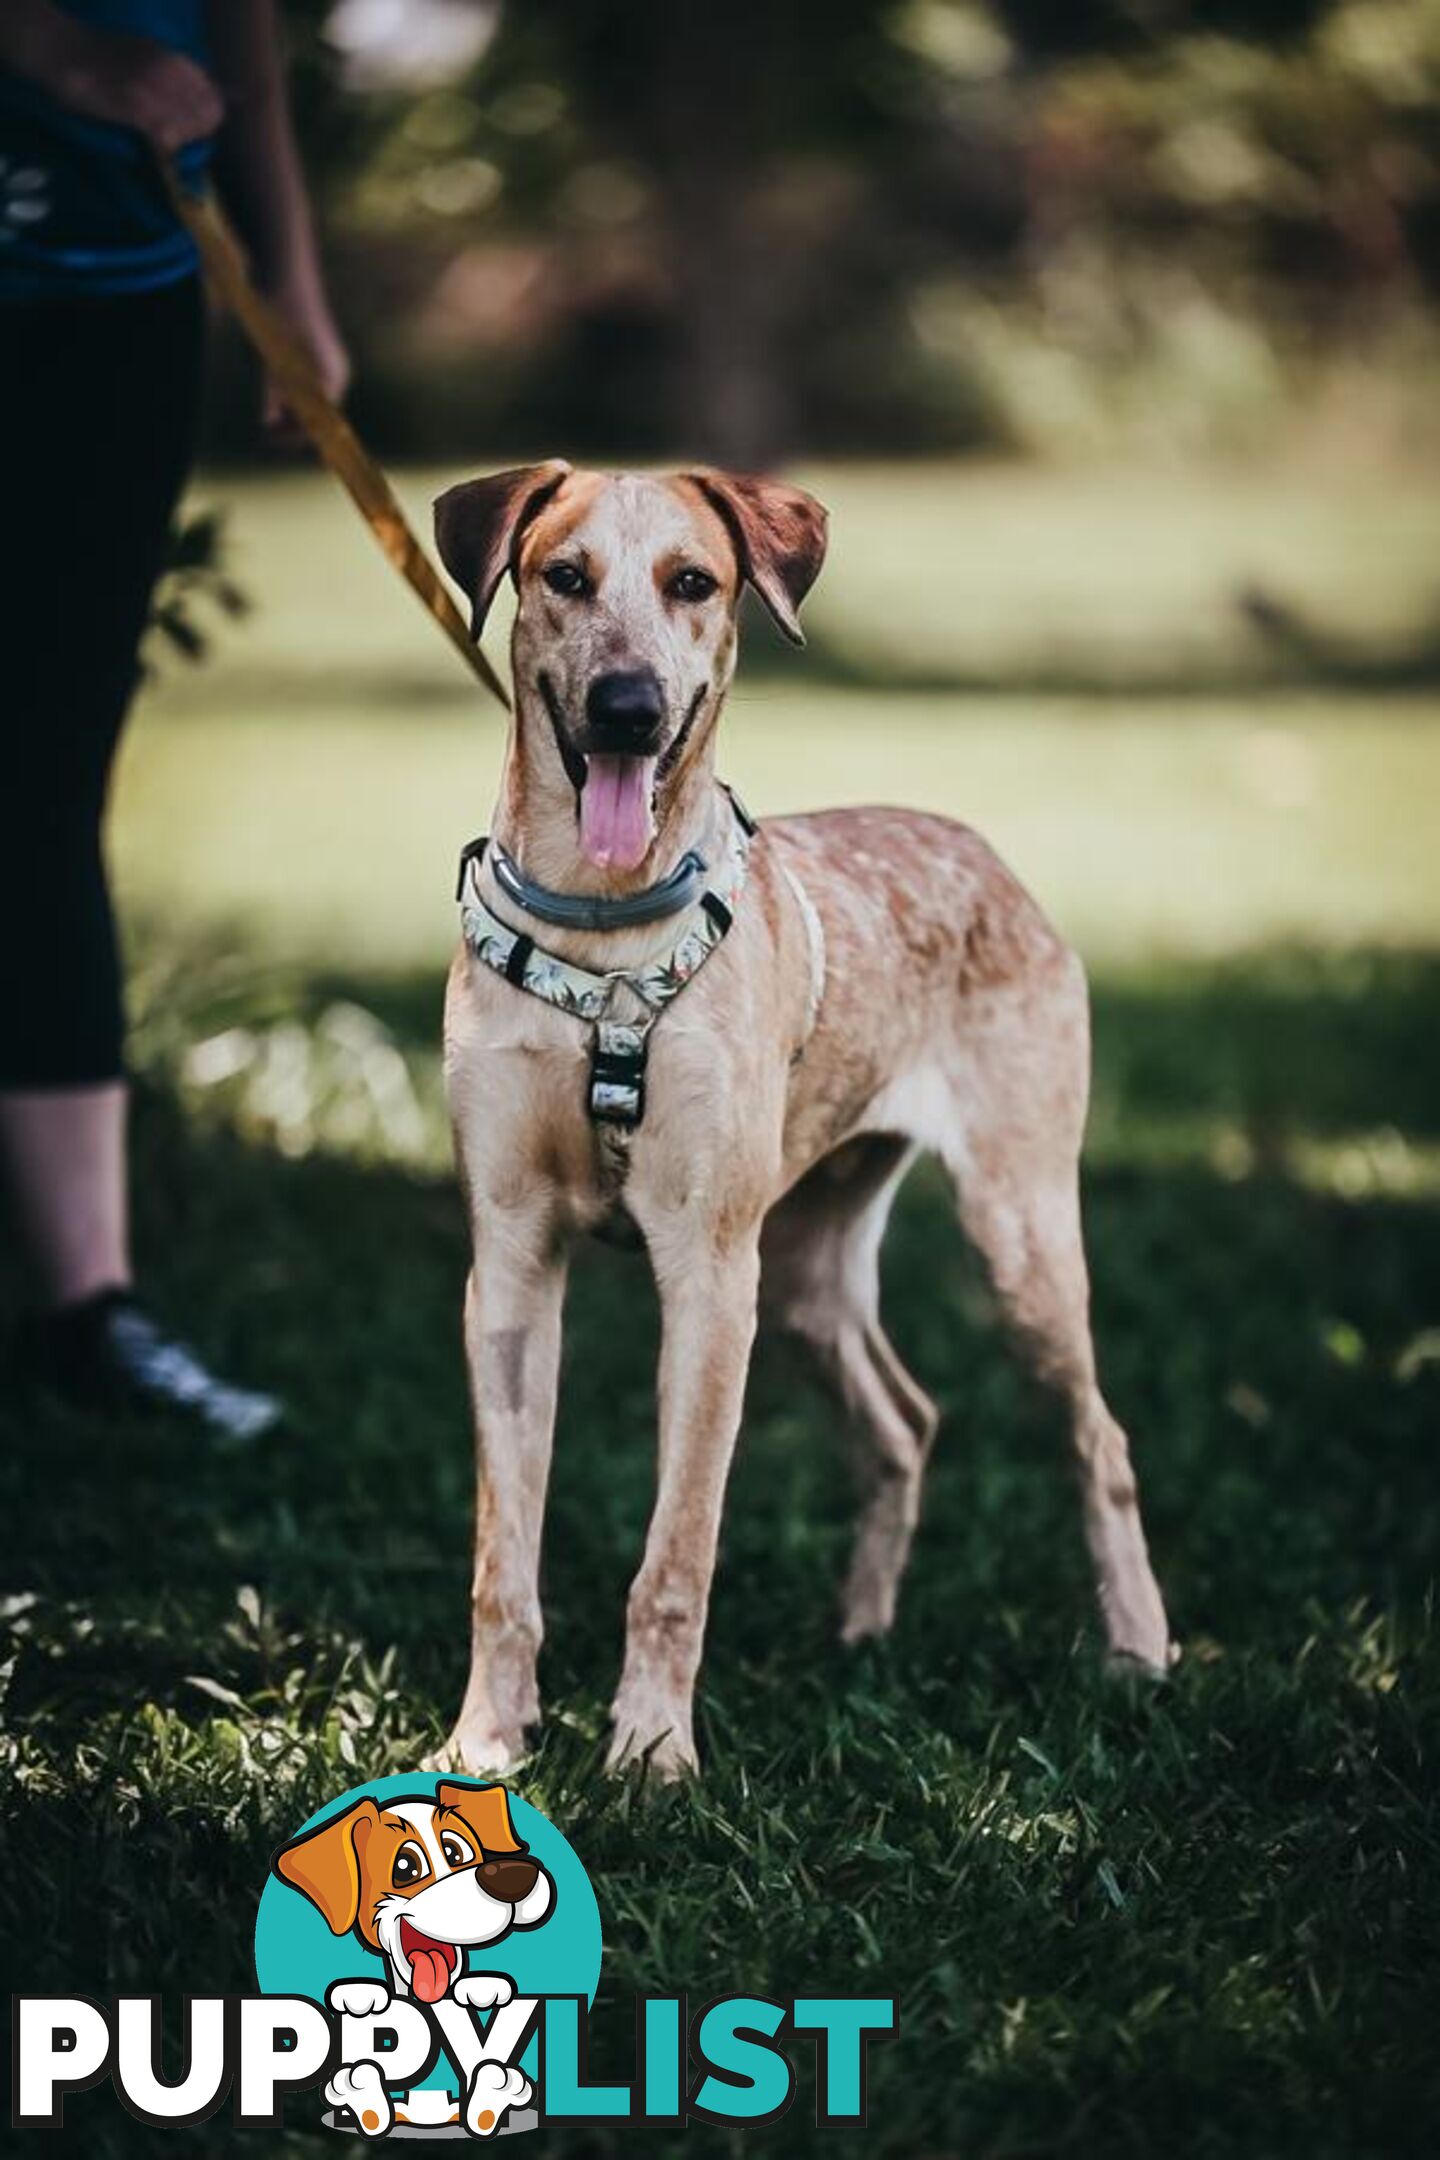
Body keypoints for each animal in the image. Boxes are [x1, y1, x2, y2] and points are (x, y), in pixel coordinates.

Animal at [427, 464, 1174, 1779]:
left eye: (694, 582)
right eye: (564, 576)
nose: (627, 709)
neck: (601, 928)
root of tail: (986, 852)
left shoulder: (709, 1276)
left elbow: (677, 1554)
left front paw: (652, 1755)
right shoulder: (510, 1268)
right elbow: (501, 1558)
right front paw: (487, 1742)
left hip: (1016, 1234)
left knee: (1101, 1440)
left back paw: (1136, 1647)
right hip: (813, 1268)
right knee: (905, 1424)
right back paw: (860, 1634)